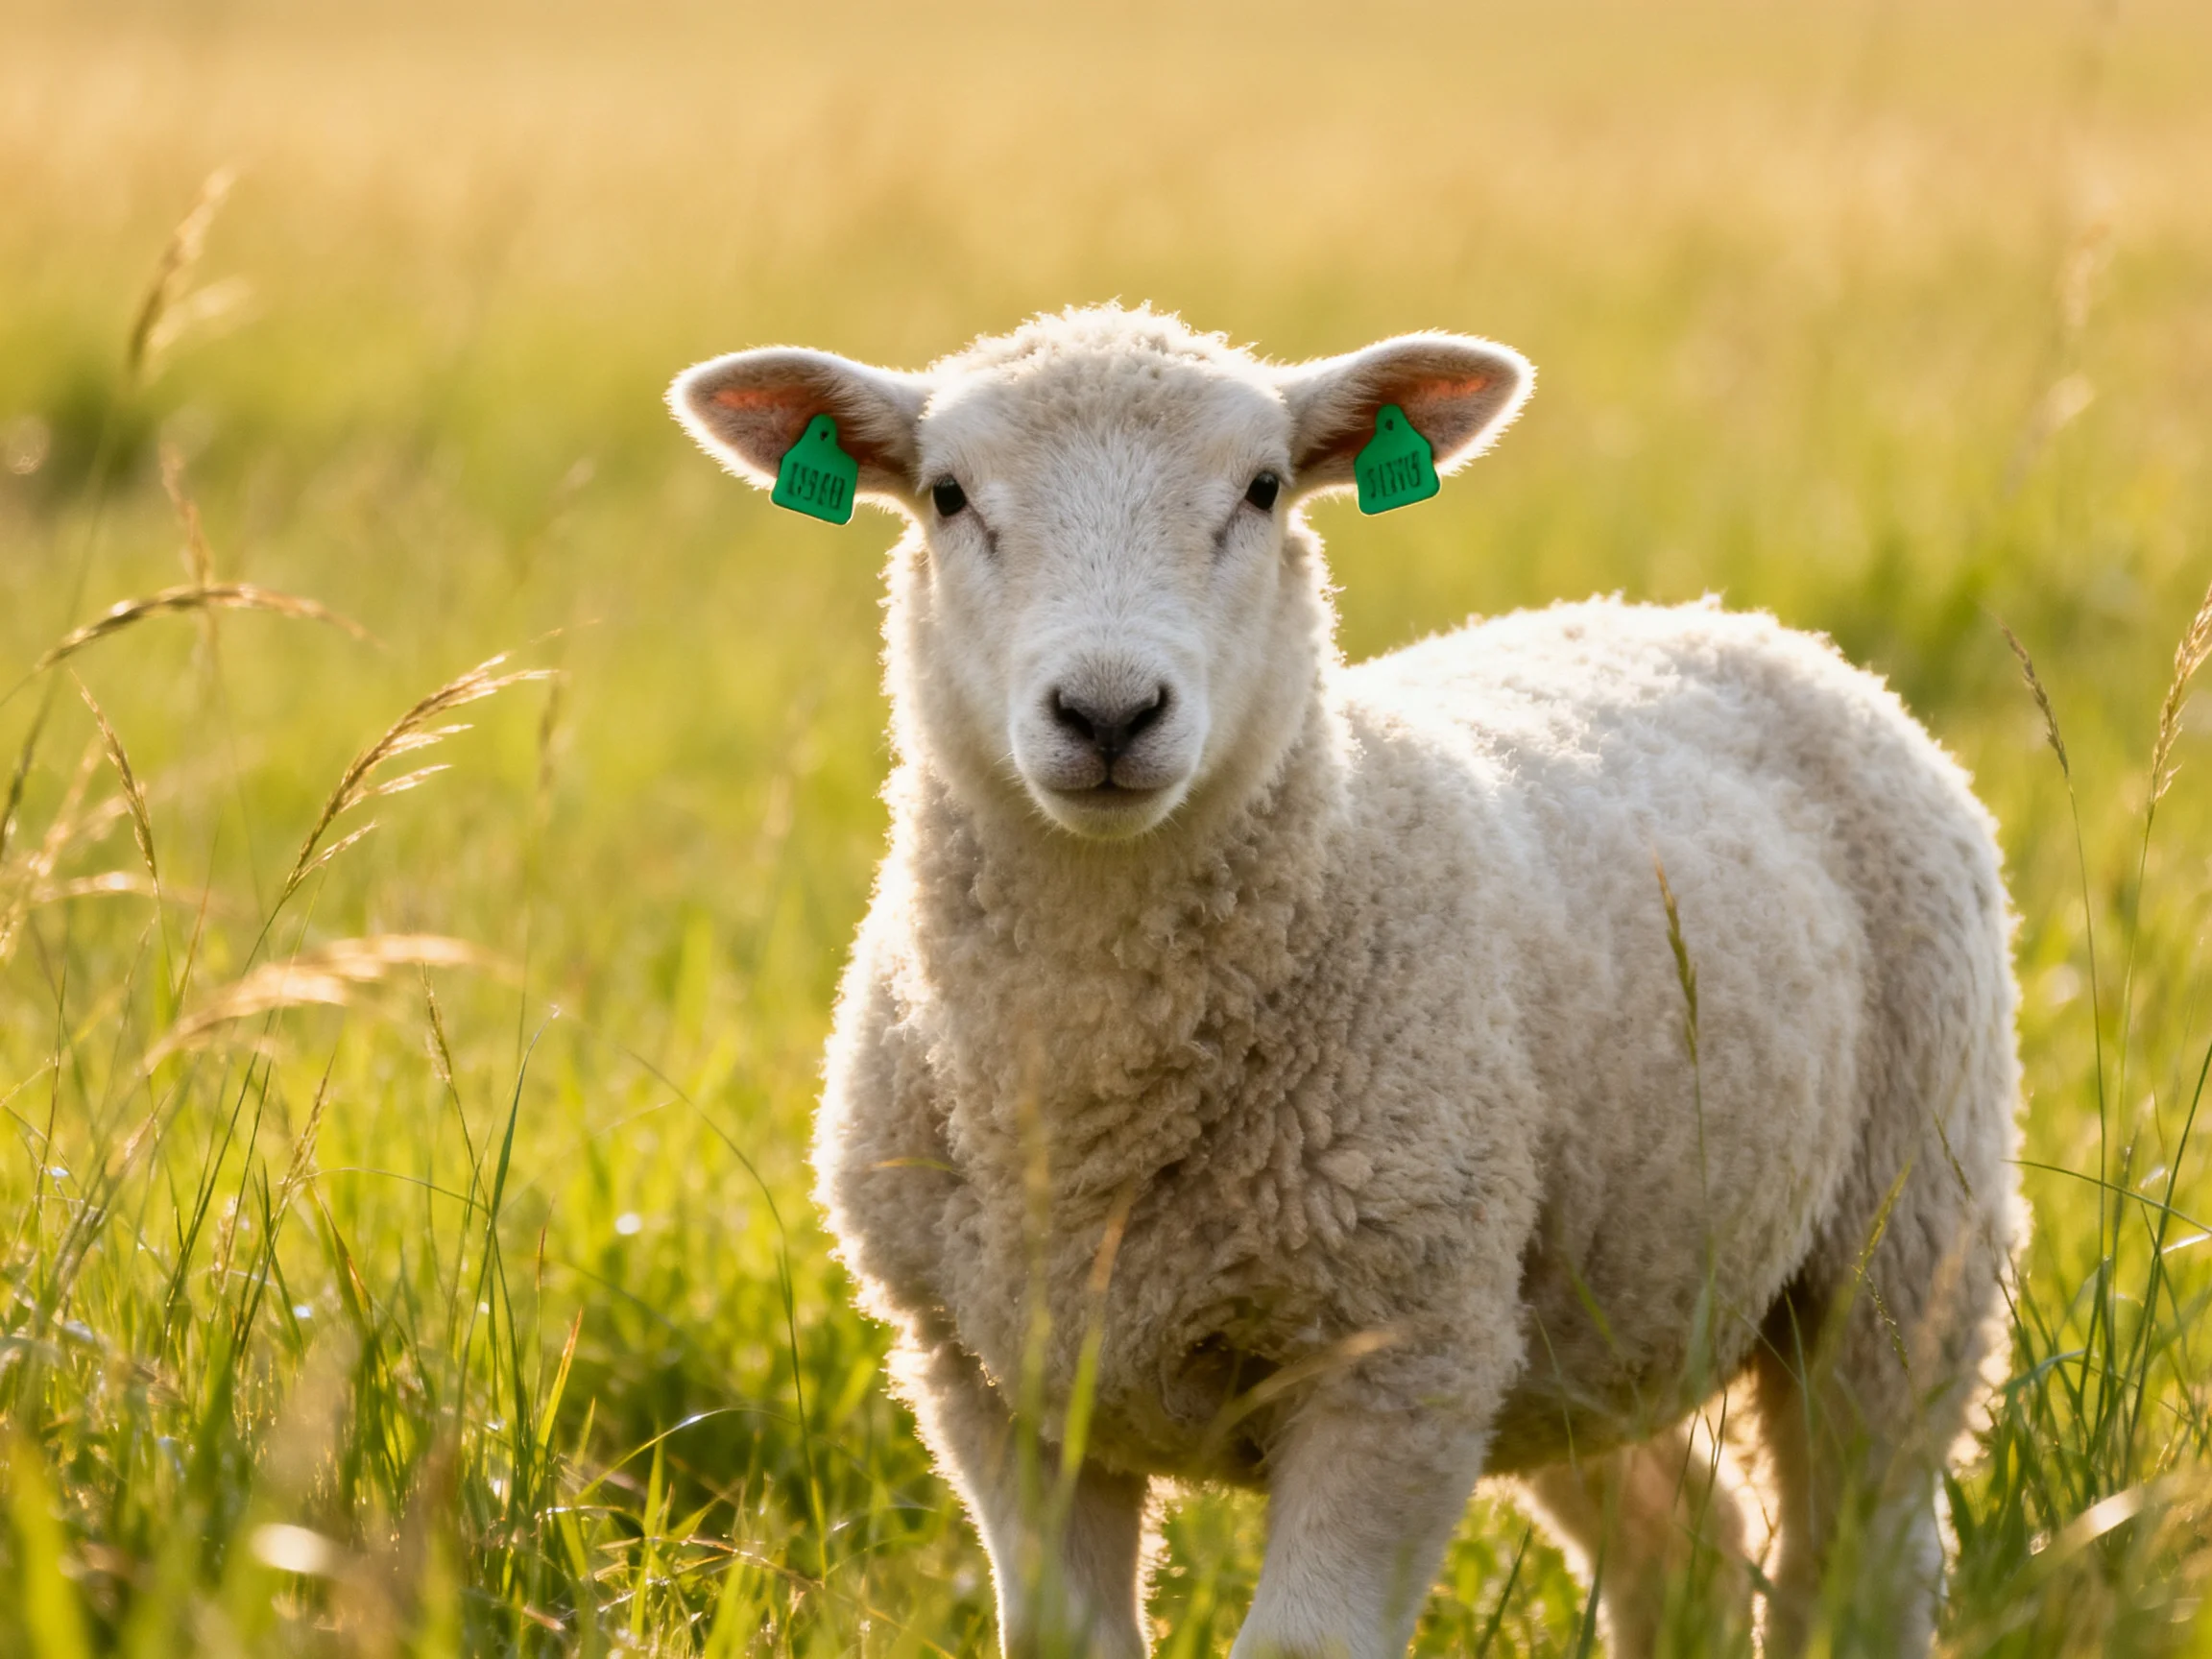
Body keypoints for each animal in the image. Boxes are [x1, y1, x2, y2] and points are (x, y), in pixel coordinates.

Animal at [668, 303, 2023, 1659]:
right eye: (948, 496)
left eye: (1264, 489)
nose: (1108, 713)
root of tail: (1720, 618)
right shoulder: (987, 1376)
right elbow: (1062, 1637)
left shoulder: (1394, 1362)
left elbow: (1303, 1644)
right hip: (1575, 1308)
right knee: (1683, 1538)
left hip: (1905, 1237)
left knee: (1864, 1550)